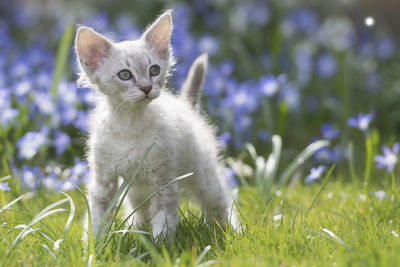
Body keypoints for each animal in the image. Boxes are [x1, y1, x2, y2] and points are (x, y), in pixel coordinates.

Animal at [75, 10, 238, 242]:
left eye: (154, 70)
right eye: (125, 75)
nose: (146, 88)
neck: (130, 123)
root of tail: (185, 106)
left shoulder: (164, 178)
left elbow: (164, 215)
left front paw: (161, 244)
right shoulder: (104, 179)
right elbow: (98, 216)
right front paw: (94, 244)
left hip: (204, 178)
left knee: (220, 204)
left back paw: (233, 231)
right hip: (137, 189)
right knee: (140, 210)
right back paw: (137, 230)